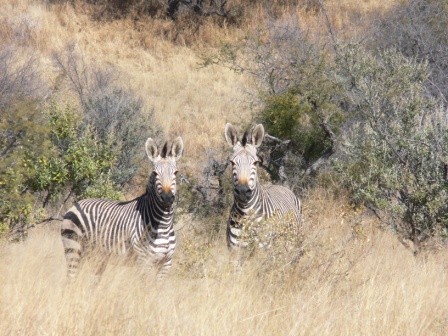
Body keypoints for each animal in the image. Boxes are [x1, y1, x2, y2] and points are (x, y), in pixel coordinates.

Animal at [61, 135, 184, 280]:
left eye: (175, 172)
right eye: (155, 173)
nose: (167, 198)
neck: (163, 224)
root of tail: (77, 204)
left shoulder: (166, 263)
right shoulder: (144, 260)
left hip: (97, 256)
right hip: (73, 248)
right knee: (70, 279)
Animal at [223, 124, 300, 262]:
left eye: (255, 162)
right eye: (232, 162)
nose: (243, 191)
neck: (246, 215)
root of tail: (279, 185)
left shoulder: (262, 253)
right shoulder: (235, 253)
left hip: (292, 244)